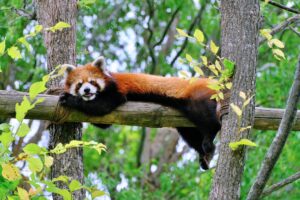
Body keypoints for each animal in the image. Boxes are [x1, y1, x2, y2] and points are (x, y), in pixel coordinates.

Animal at [60, 56, 220, 170]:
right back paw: (205, 155)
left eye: (92, 82)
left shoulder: (116, 90)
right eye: (79, 84)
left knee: (208, 120)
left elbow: (102, 107)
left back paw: (210, 138)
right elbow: (104, 122)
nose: (86, 90)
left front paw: (70, 99)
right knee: (190, 134)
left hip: (197, 98)